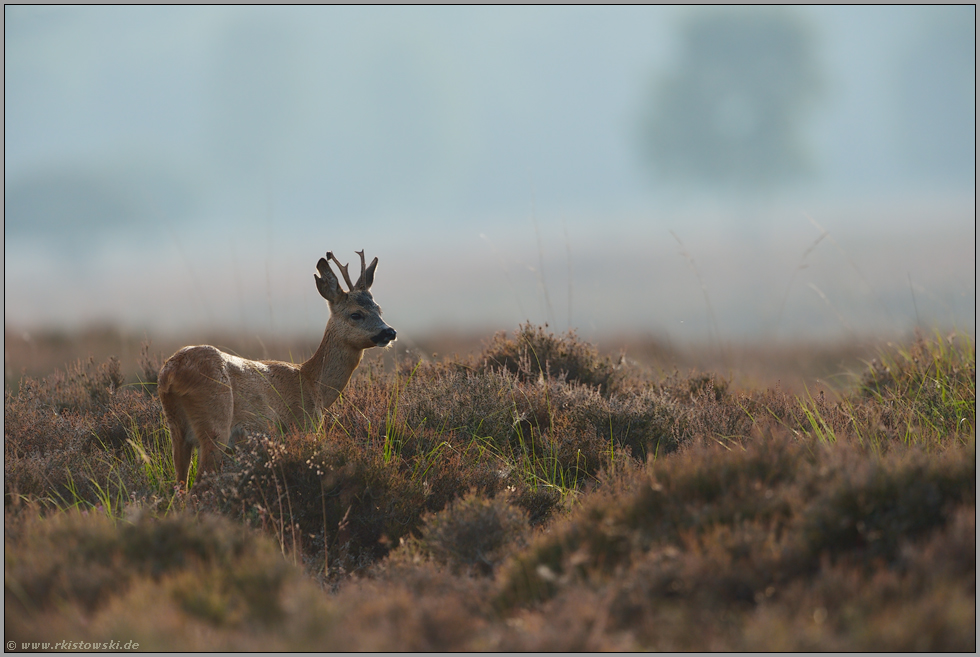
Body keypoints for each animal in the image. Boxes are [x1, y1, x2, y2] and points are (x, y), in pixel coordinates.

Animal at [157, 249, 394, 484]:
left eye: (379, 310)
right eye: (356, 314)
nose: (390, 332)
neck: (312, 383)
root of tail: (171, 374)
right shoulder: (302, 425)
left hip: (176, 430)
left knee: (180, 483)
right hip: (215, 423)